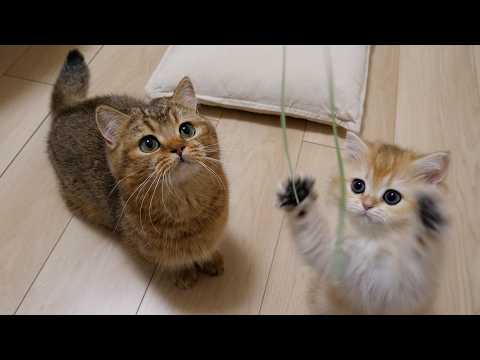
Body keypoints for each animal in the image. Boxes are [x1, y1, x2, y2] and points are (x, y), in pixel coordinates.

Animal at [48, 50, 229, 290]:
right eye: (148, 144)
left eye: (186, 129)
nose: (178, 148)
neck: (186, 204)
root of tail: (67, 109)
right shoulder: (153, 252)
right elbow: (174, 262)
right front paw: (184, 273)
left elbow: (208, 248)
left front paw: (211, 259)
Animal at [278, 132, 450, 316]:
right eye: (358, 185)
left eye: (392, 197)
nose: (367, 205)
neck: (371, 240)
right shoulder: (333, 261)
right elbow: (312, 233)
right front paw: (298, 195)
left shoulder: (404, 286)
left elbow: (416, 253)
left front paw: (428, 220)